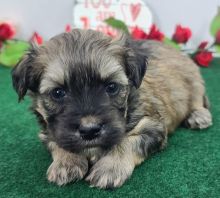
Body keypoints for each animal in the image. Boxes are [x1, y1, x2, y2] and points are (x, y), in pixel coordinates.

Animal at [11, 29, 212, 189]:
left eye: (112, 87)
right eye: (58, 92)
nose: (89, 130)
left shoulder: (152, 126)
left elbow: (126, 142)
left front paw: (110, 167)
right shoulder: (48, 131)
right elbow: (57, 142)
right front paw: (66, 163)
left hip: (194, 80)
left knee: (197, 99)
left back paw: (198, 115)